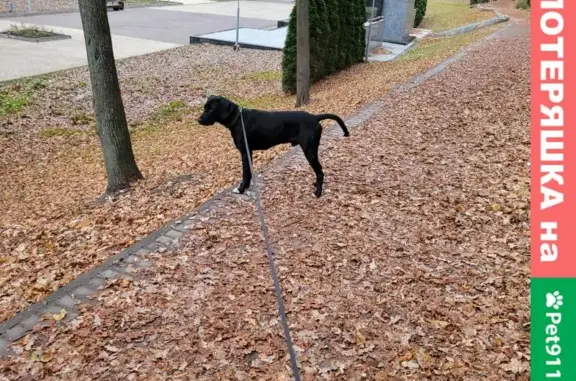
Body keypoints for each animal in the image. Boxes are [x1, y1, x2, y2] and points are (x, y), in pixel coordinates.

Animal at [198, 95, 352, 197]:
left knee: (320, 172)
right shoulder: (249, 153)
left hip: (309, 151)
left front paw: (241, 189)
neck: (237, 119)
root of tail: (314, 117)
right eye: (204, 107)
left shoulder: (244, 152)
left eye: (210, 109)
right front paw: (245, 187)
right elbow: (249, 173)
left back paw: (318, 192)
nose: (198, 120)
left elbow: (245, 173)